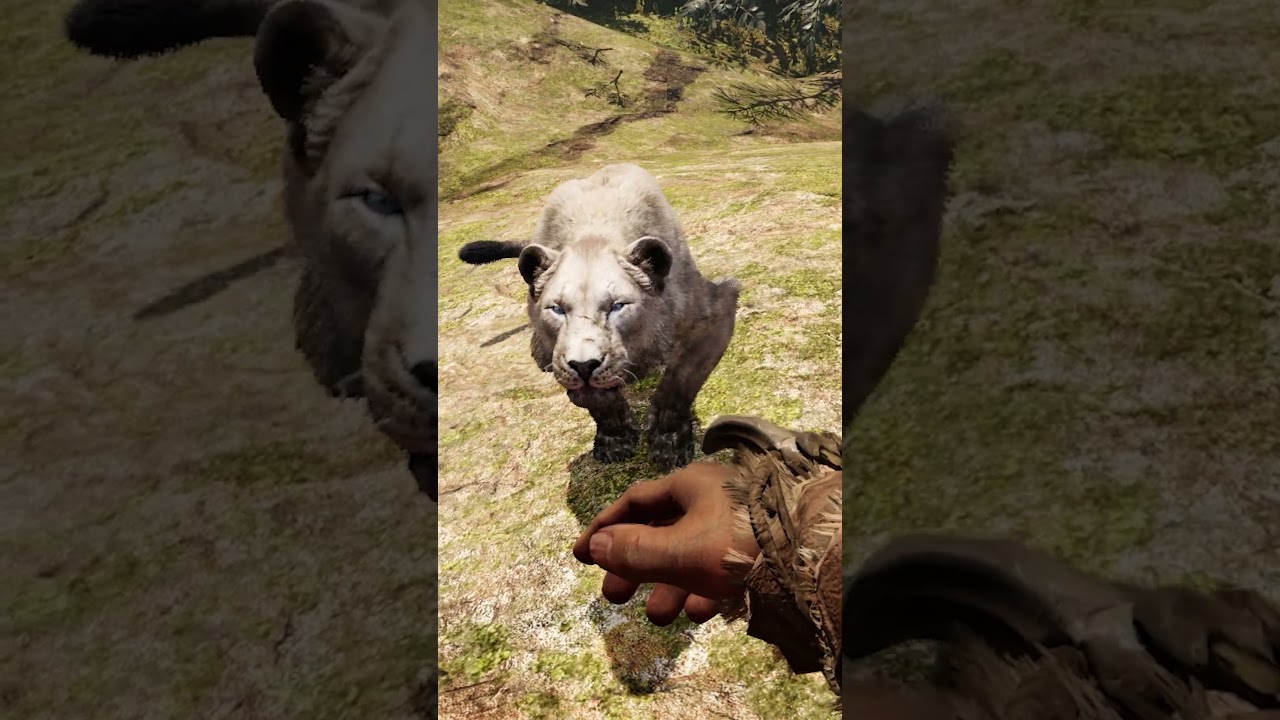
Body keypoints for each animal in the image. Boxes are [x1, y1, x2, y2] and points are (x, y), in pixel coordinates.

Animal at [458, 164, 740, 470]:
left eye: (617, 305)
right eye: (557, 308)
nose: (584, 365)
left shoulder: (717, 308)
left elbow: (679, 382)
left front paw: (669, 443)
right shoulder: (559, 359)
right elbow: (594, 398)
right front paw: (615, 440)